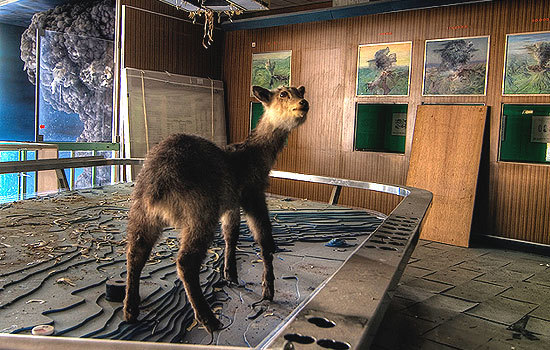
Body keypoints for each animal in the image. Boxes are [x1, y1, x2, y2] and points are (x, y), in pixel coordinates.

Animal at [124, 84, 310, 330]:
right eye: (283, 94)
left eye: (301, 92)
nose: (304, 104)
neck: (253, 157)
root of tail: (158, 186)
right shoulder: (252, 194)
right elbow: (264, 239)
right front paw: (268, 289)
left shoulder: (230, 203)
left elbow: (231, 234)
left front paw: (230, 274)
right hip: (199, 212)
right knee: (185, 261)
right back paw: (208, 318)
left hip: (141, 212)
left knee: (135, 252)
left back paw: (130, 310)